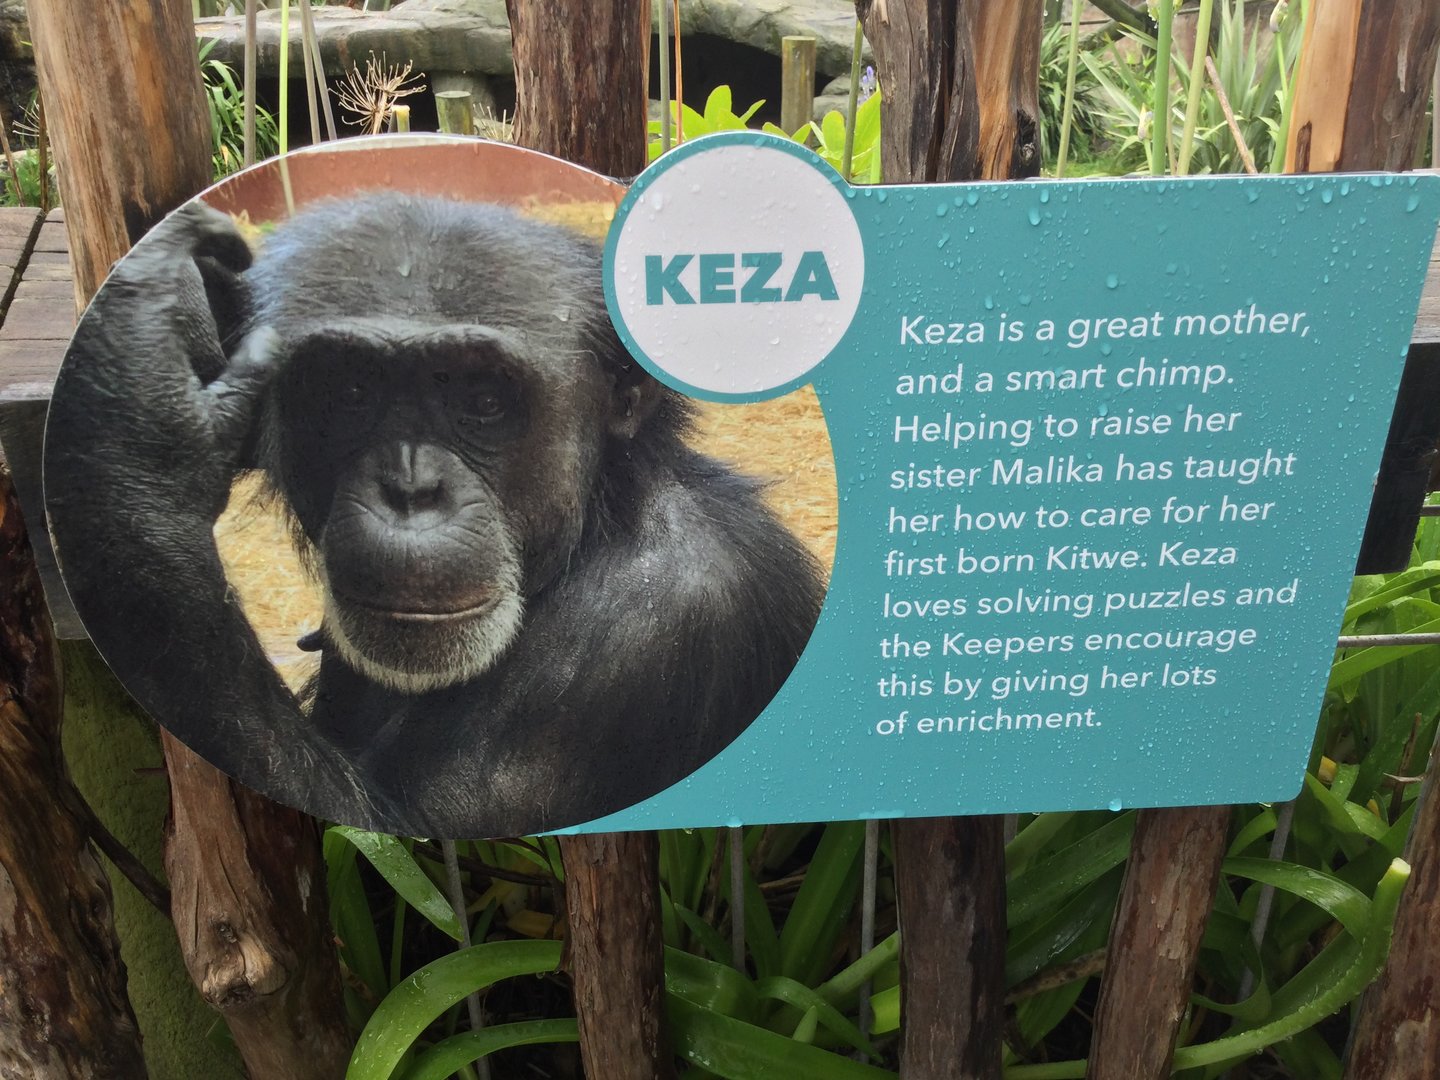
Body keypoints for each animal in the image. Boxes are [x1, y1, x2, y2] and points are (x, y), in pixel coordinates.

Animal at [44, 193, 826, 838]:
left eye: (483, 399)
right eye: (351, 390)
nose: (411, 489)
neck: (596, 525)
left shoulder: (648, 633)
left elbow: (387, 825)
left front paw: (134, 407)